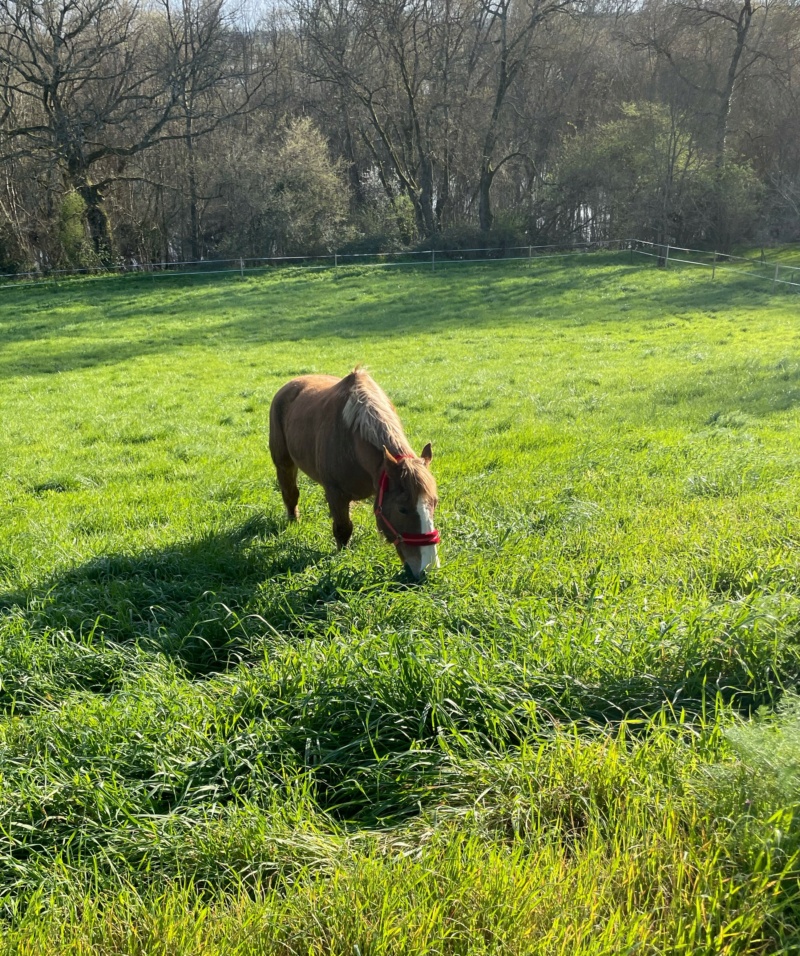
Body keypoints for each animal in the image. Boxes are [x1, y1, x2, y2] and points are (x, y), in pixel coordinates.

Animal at [272, 366, 440, 576]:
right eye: (402, 509)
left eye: (434, 503)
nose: (428, 568)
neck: (352, 441)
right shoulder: (335, 492)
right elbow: (343, 528)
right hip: (284, 463)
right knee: (290, 494)